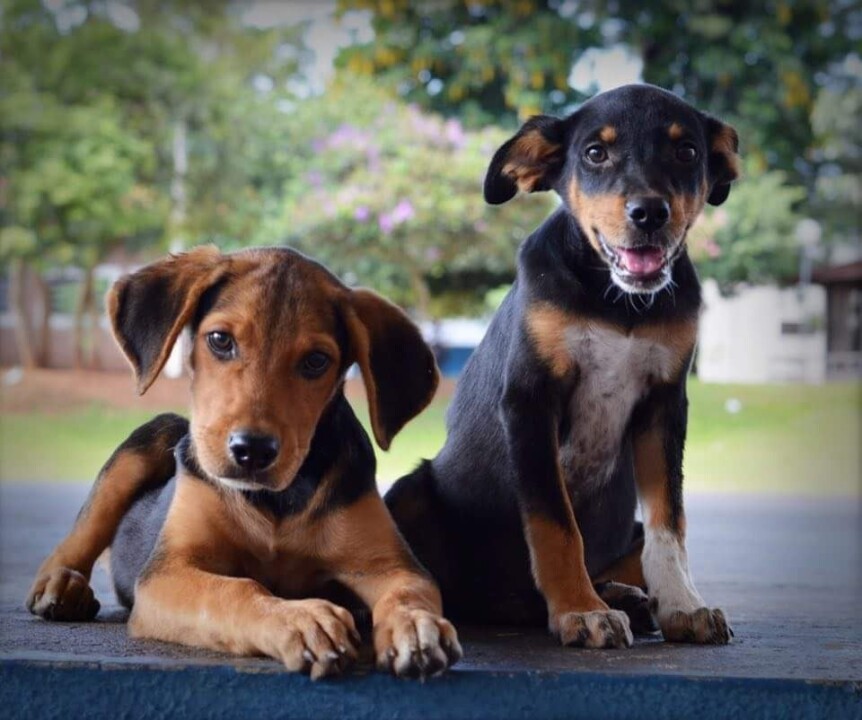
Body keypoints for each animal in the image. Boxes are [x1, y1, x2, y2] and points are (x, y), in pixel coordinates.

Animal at [23, 245, 462, 676]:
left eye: (316, 361)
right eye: (220, 340)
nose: (252, 450)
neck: (275, 500)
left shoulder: (392, 566)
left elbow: (408, 593)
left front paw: (416, 627)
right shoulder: (169, 573)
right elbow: (235, 590)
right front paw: (299, 621)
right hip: (148, 440)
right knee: (84, 530)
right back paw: (62, 585)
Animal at [388, 84, 740, 648]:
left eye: (687, 152)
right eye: (595, 153)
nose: (649, 213)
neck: (617, 303)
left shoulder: (665, 404)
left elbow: (669, 523)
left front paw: (684, 605)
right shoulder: (530, 402)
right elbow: (556, 524)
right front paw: (580, 610)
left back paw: (629, 598)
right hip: (408, 493)